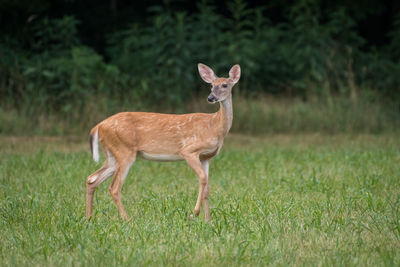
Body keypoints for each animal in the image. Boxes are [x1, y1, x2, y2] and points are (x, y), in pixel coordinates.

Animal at [85, 63, 241, 222]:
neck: (214, 126)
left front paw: (207, 220)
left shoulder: (206, 157)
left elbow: (207, 187)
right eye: (211, 85)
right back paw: (128, 219)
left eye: (224, 85)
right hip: (124, 150)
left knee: (92, 179)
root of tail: (99, 126)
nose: (210, 97)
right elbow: (202, 178)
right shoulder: (188, 150)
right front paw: (195, 213)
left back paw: (88, 218)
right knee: (114, 187)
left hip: (112, 154)